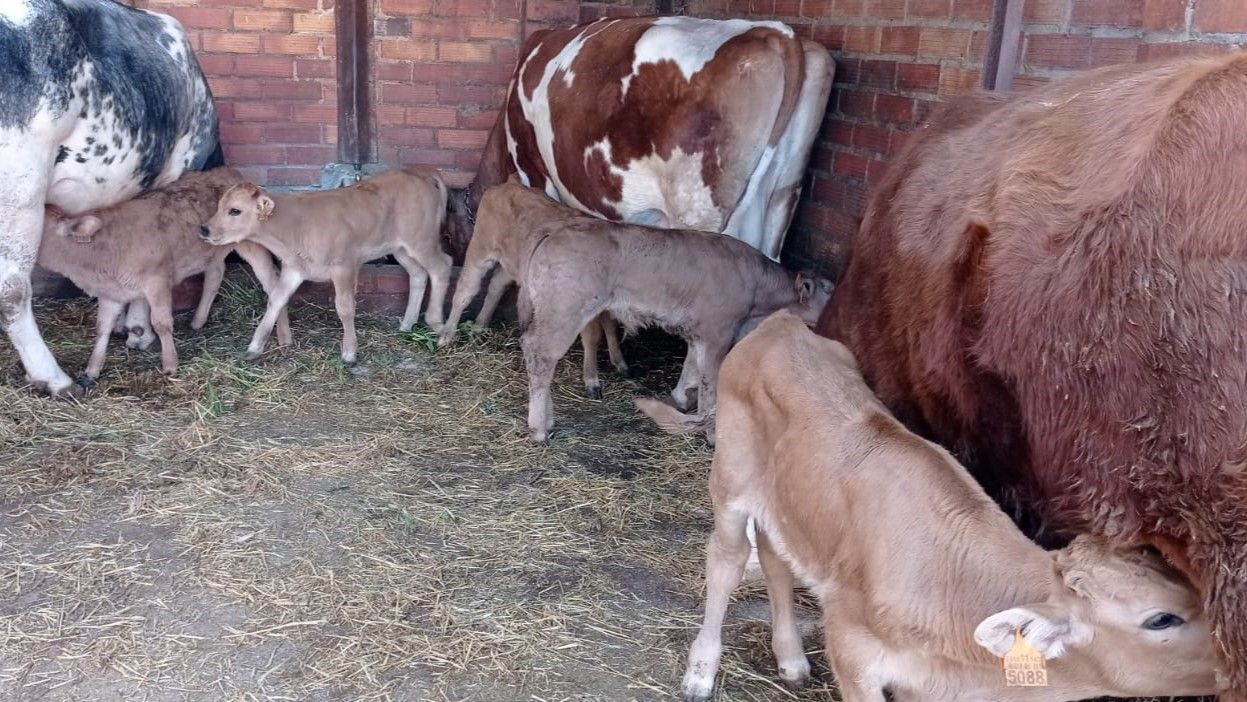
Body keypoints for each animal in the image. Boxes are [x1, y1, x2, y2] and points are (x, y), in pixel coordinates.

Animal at [38, 167, 289, 381]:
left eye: (37, 228)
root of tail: (232, 172)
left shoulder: (157, 281)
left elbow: (161, 323)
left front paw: (170, 365)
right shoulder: (112, 292)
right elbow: (102, 328)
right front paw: (92, 369)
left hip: (251, 245)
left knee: (273, 283)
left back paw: (284, 336)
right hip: (210, 250)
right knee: (215, 274)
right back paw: (198, 321)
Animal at [200, 168, 451, 365]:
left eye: (235, 210)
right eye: (219, 206)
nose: (204, 229)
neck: (293, 227)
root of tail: (420, 171)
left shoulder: (344, 265)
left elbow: (345, 307)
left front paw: (349, 353)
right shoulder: (295, 268)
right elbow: (275, 300)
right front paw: (254, 347)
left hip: (421, 240)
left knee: (442, 267)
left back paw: (441, 328)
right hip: (400, 248)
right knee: (418, 274)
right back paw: (407, 324)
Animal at [440, 180, 832, 442]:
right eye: (829, 292)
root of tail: (556, 230)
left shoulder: (699, 332)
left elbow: (690, 367)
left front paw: (679, 397)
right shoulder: (719, 331)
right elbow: (710, 382)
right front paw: (711, 432)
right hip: (558, 307)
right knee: (536, 350)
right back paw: (539, 426)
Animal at [637, 310, 1223, 702]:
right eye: (1161, 618)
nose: (1231, 655)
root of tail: (784, 324)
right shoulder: (853, 650)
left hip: (787, 500)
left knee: (778, 556)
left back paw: (791, 658)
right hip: (730, 482)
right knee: (727, 561)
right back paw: (701, 671)